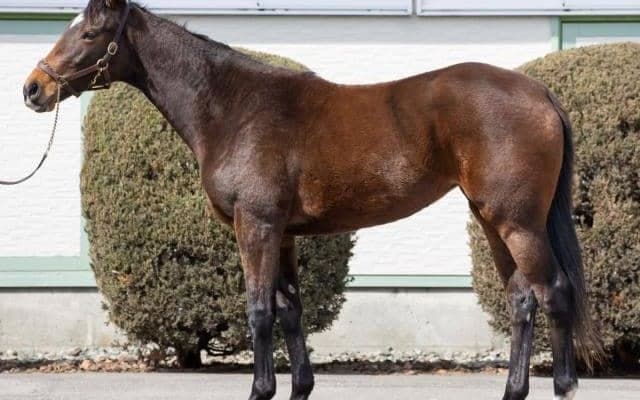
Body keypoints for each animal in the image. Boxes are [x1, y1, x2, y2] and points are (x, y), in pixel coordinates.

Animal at [23, 1, 602, 399]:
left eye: (90, 32)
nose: (33, 89)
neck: (235, 108)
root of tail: (539, 93)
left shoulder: (255, 225)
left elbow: (259, 310)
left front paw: (261, 390)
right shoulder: (282, 235)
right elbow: (290, 309)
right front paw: (298, 386)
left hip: (517, 222)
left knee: (554, 292)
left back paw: (563, 386)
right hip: (491, 219)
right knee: (522, 299)